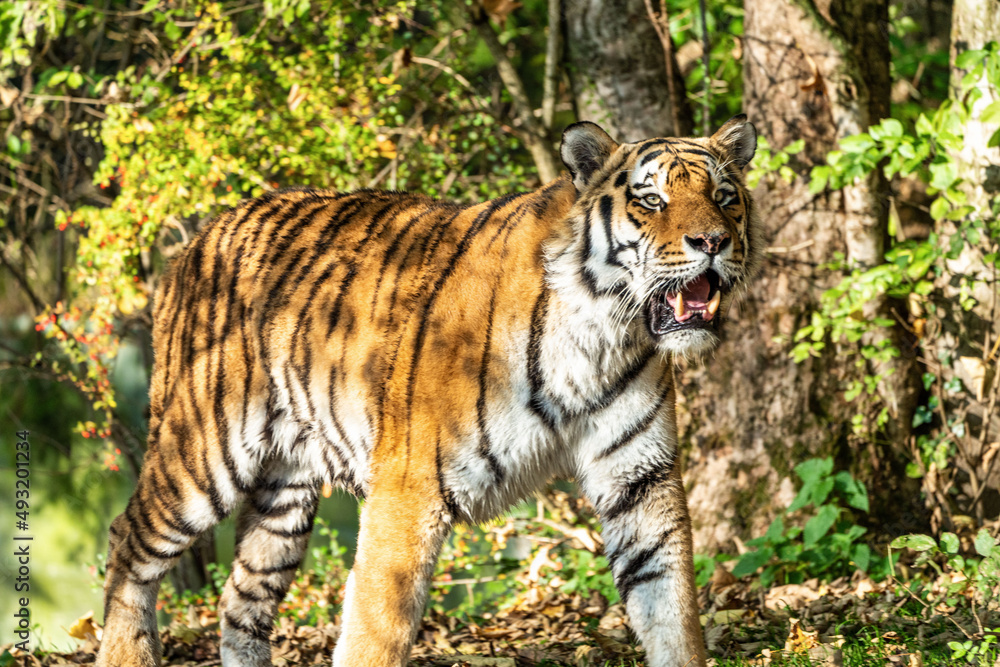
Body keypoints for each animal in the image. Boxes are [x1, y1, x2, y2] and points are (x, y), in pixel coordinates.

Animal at [94, 114, 759, 667]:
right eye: (651, 200)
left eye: (724, 198)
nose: (712, 242)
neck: (605, 333)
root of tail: (199, 237)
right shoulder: (408, 488)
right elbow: (376, 628)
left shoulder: (640, 480)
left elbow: (672, 607)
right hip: (204, 450)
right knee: (129, 539)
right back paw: (128, 653)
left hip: (284, 495)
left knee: (242, 598)